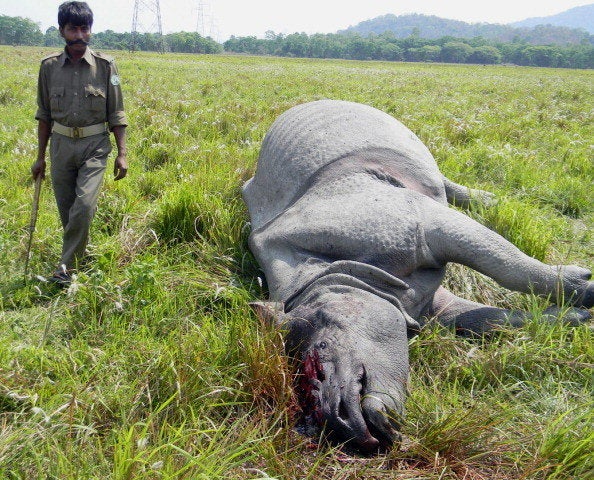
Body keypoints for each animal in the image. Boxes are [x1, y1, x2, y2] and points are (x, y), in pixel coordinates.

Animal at [242, 99, 592, 452]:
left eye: (325, 345)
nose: (341, 424)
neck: (337, 276)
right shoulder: (417, 300)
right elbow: (482, 319)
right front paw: (574, 319)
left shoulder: (416, 220)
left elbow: (507, 263)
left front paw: (586, 288)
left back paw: (490, 201)